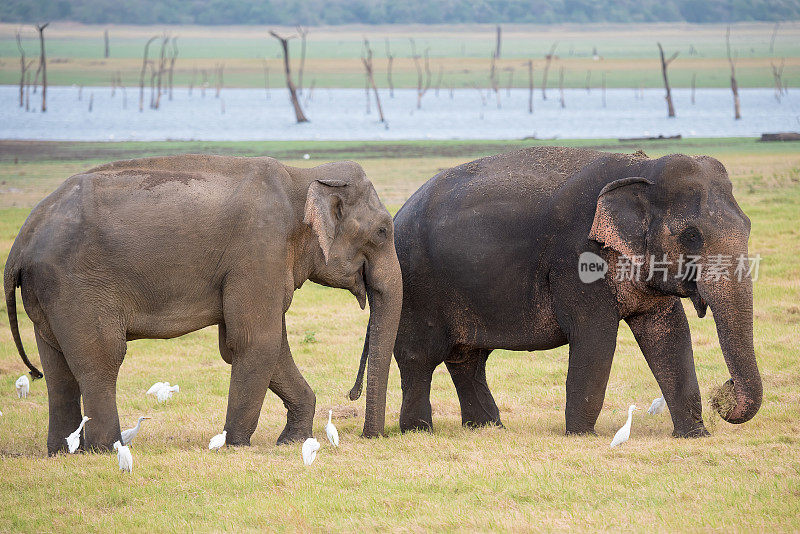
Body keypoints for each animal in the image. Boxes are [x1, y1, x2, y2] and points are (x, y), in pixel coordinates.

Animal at [6, 155, 404, 456]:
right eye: (383, 231)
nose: (370, 434)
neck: (303, 176)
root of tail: (21, 242)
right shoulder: (259, 250)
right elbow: (256, 342)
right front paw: (236, 445)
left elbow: (256, 346)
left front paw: (291, 441)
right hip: (77, 288)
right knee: (100, 359)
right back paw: (107, 450)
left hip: (48, 296)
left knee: (57, 369)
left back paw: (61, 452)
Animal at [350, 147, 764, 440]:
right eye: (691, 236)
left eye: (748, 225)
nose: (725, 392)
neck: (641, 170)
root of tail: (397, 214)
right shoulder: (576, 258)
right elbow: (595, 336)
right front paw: (581, 436)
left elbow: (670, 332)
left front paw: (695, 435)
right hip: (417, 287)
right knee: (420, 358)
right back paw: (419, 431)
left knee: (467, 358)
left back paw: (487, 428)